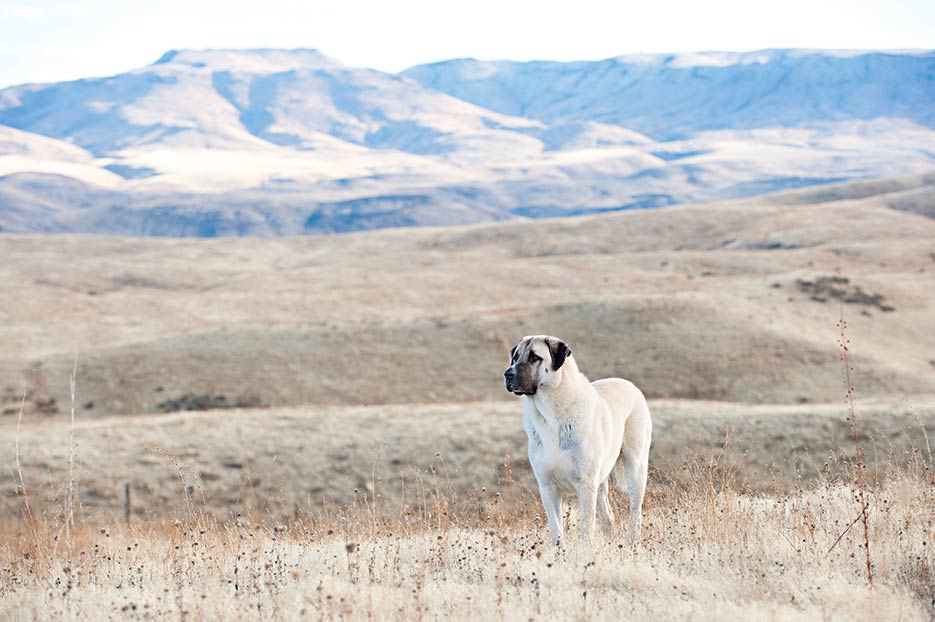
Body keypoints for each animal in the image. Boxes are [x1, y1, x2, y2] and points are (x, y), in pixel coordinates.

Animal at [504, 336, 652, 544]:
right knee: (608, 517)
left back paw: (633, 543)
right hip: (601, 481)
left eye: (535, 357)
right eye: (516, 357)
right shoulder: (547, 488)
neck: (550, 415)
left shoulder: (585, 484)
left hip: (635, 467)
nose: (508, 374)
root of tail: (630, 385)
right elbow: (557, 531)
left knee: (635, 512)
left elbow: (586, 529)